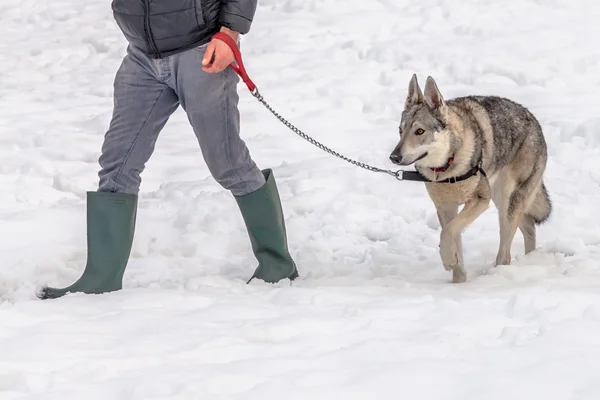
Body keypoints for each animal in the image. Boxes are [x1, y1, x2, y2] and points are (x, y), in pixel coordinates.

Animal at [390, 74, 552, 282]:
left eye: (419, 131)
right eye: (400, 131)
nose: (394, 157)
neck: (446, 168)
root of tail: (534, 120)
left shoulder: (480, 200)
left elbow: (447, 232)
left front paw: (448, 261)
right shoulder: (446, 207)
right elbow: (453, 237)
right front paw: (458, 282)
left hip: (506, 201)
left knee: (505, 252)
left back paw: (497, 274)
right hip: (502, 200)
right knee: (529, 227)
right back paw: (530, 260)